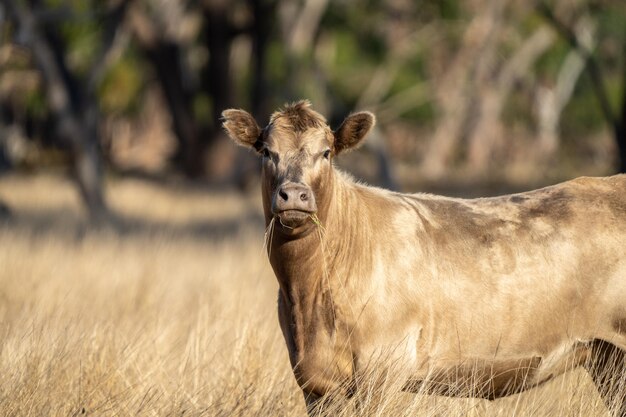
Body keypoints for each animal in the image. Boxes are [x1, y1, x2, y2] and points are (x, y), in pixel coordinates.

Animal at [221, 101, 624, 416]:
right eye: (267, 152)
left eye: (326, 152)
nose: (294, 195)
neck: (307, 293)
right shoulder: (314, 382)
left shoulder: (382, 369)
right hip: (607, 359)